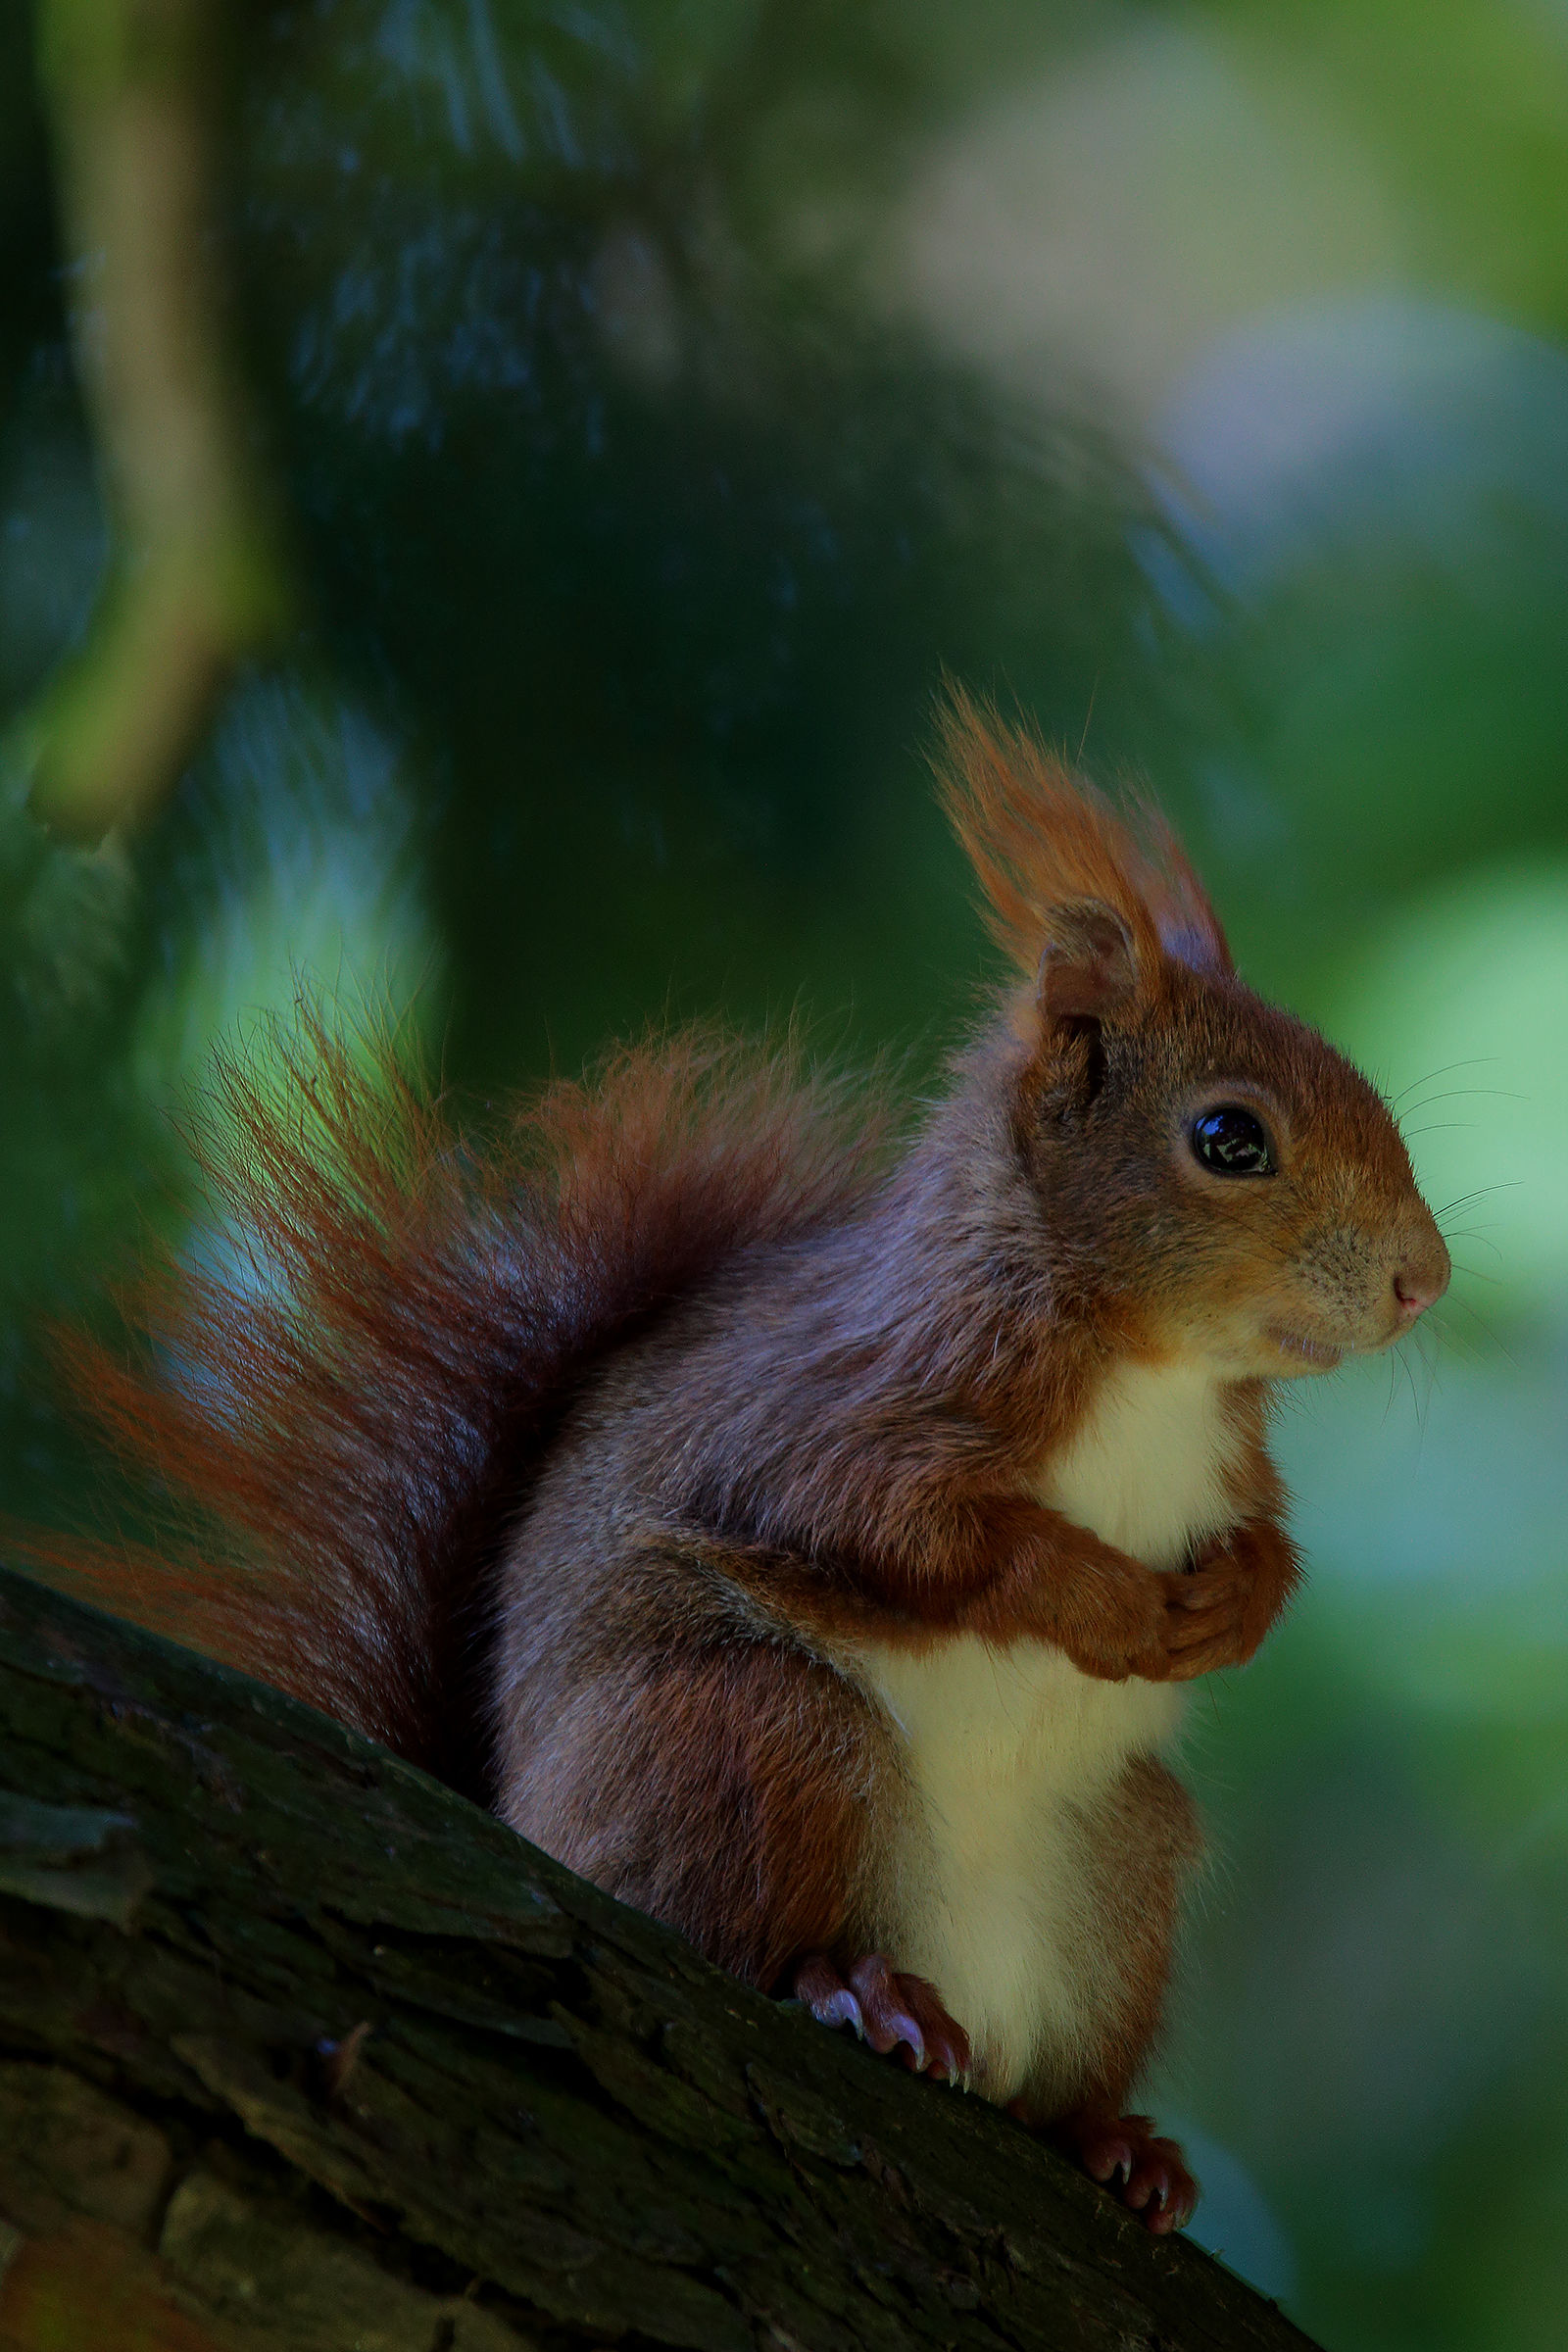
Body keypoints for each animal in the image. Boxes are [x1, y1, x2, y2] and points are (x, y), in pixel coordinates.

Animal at [36, 693, 1450, 2235]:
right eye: (1228, 1138)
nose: (1422, 1282)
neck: (1155, 1368)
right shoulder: (843, 1410)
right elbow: (908, 1530)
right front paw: (1104, 1599)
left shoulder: (1224, 1463)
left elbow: (1270, 1544)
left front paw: (1228, 1606)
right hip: (749, 1731)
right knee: (736, 1931)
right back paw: (855, 1991)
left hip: (1123, 1861)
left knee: (1054, 2057)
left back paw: (1110, 2141)